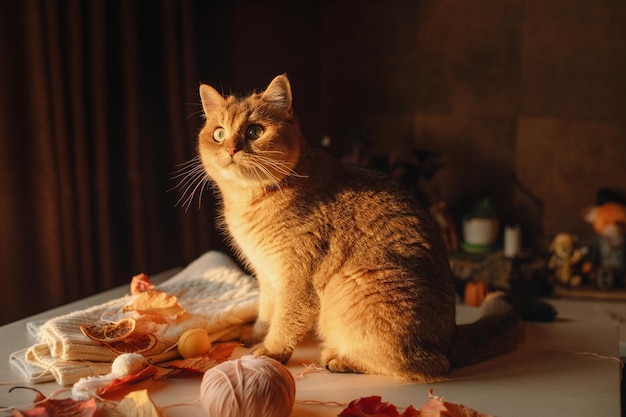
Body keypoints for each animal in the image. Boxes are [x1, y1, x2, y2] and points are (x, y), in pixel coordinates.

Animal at [195, 75, 520, 380]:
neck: (251, 199)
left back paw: (341, 359)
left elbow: (285, 321)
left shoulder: (297, 279)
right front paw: (255, 336)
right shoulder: (267, 275)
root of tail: (450, 338)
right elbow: (266, 313)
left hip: (354, 286)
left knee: (427, 366)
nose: (231, 149)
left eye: (255, 131)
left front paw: (271, 351)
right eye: (219, 133)